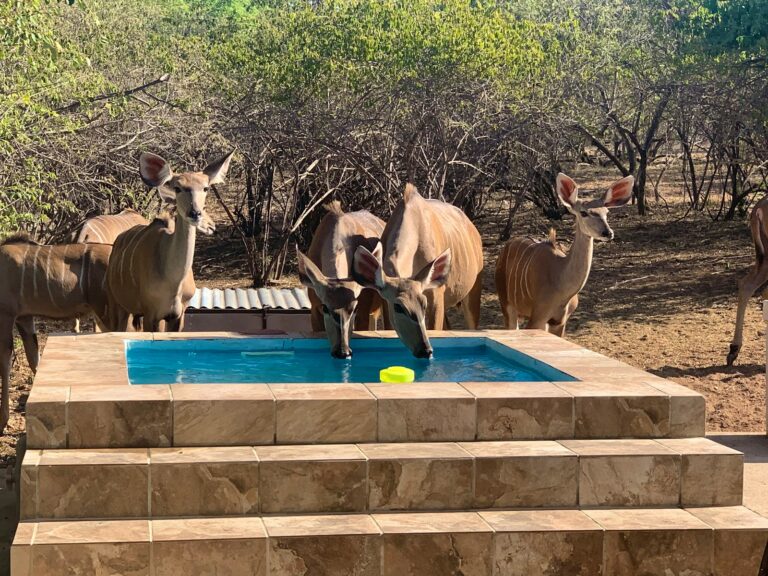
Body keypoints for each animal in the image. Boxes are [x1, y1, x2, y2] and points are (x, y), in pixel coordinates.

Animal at [0, 234, 121, 430]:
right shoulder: (24, 318)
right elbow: (34, 358)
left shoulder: (6, 314)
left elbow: (5, 362)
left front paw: (3, 420)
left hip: (107, 312)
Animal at [107, 150, 233, 332]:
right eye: (177, 188)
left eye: (206, 188)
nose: (195, 213)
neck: (173, 282)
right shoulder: (151, 314)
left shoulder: (178, 316)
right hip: (119, 307)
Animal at [353, 183, 483, 358]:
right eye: (398, 306)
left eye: (424, 304)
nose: (425, 350)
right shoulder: (386, 300)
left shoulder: (435, 294)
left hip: (473, 290)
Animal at [495, 173, 633, 336]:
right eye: (584, 212)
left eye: (606, 212)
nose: (608, 233)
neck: (560, 281)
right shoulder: (537, 318)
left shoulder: (559, 322)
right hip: (507, 305)